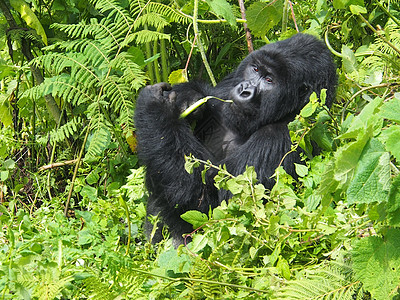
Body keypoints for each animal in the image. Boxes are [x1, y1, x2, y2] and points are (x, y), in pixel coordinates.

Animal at [134, 33, 338, 244]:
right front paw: (189, 98)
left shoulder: (279, 139)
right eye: (255, 69)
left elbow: (214, 208)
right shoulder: (226, 90)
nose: (244, 89)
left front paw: (156, 107)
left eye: (269, 80)